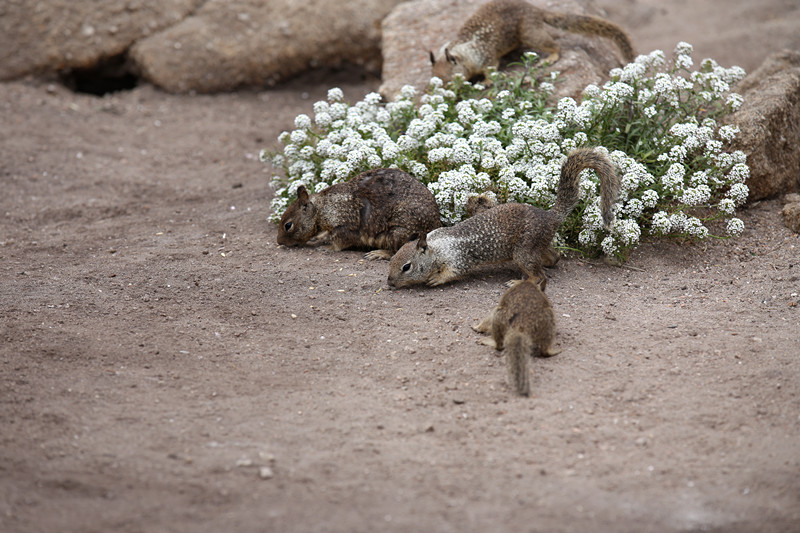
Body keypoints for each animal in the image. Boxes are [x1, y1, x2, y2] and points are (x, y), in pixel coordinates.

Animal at [276, 166, 440, 258]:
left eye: (288, 225)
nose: (279, 242)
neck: (322, 209)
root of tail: (436, 224)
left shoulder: (344, 227)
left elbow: (338, 243)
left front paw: (325, 247)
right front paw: (319, 238)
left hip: (397, 233)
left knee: (395, 251)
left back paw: (378, 254)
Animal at [388, 145, 620, 286]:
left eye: (406, 267)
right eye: (391, 259)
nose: (389, 282)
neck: (437, 247)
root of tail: (550, 217)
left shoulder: (458, 258)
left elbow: (455, 272)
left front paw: (436, 279)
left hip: (523, 251)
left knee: (538, 276)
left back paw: (519, 281)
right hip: (534, 246)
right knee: (554, 257)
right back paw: (548, 261)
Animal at [428, 0, 636, 82]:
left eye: (449, 80)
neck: (463, 51)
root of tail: (535, 9)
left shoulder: (486, 57)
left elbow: (491, 68)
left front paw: (486, 82)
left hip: (530, 33)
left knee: (555, 45)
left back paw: (550, 57)